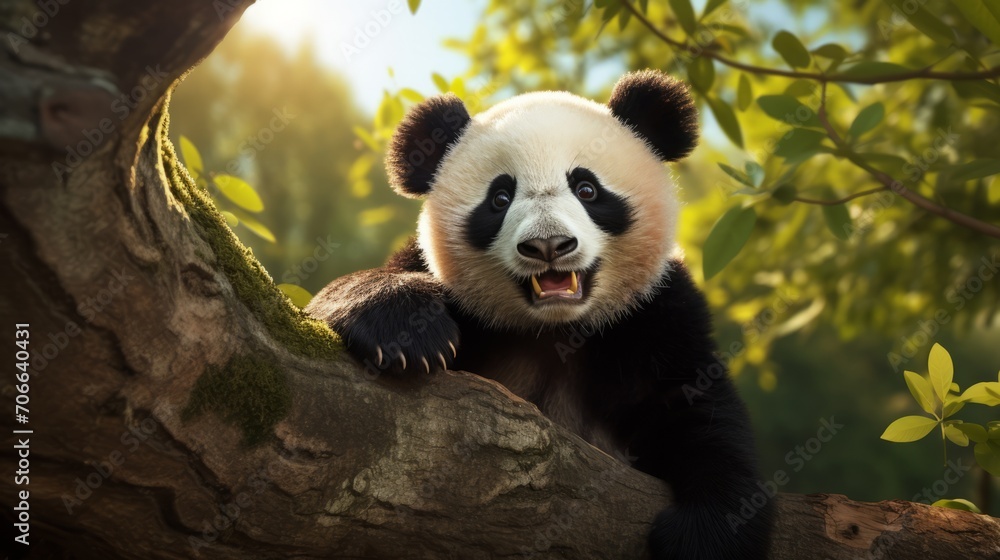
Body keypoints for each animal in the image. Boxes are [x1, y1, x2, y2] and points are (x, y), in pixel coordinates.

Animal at [307, 69, 774, 559]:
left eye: (587, 189)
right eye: (499, 197)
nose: (548, 245)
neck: (556, 330)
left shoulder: (656, 315)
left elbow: (699, 411)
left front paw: (704, 535)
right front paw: (407, 335)